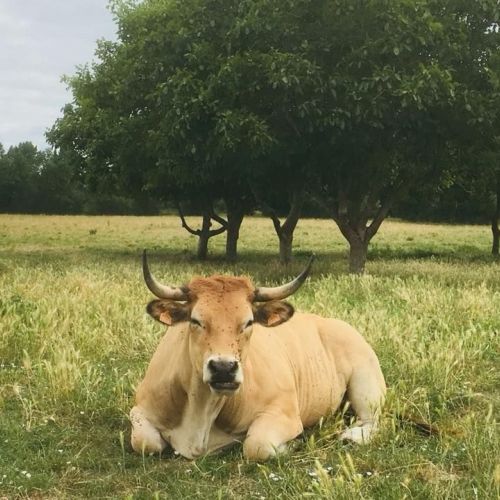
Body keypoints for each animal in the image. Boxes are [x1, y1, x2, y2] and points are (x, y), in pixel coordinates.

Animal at [130, 252, 386, 462]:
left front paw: (292, 445)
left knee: (372, 421)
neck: (201, 411)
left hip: (367, 386)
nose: (223, 368)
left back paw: (351, 436)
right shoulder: (140, 410)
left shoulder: (283, 413)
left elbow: (256, 445)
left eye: (249, 322)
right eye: (195, 320)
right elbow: (144, 443)